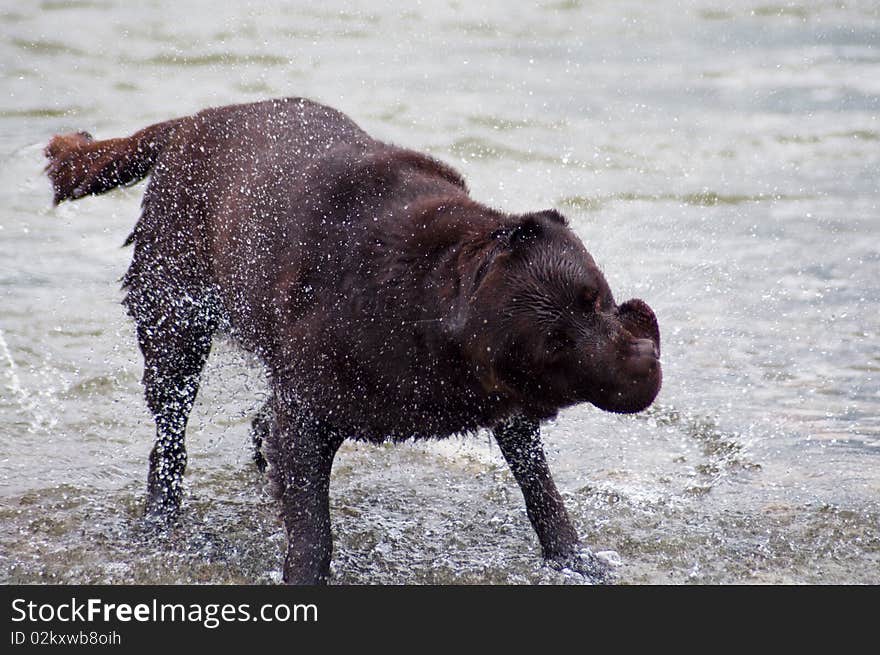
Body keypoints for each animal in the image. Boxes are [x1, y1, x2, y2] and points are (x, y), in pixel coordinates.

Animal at [43, 100, 660, 588]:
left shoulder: (501, 404)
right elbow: (312, 528)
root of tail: (191, 122)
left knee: (258, 421)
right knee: (169, 437)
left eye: (596, 300)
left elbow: (541, 487)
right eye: (556, 344)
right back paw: (160, 523)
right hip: (174, 321)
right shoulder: (310, 414)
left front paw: (574, 558)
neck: (427, 300)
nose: (642, 360)